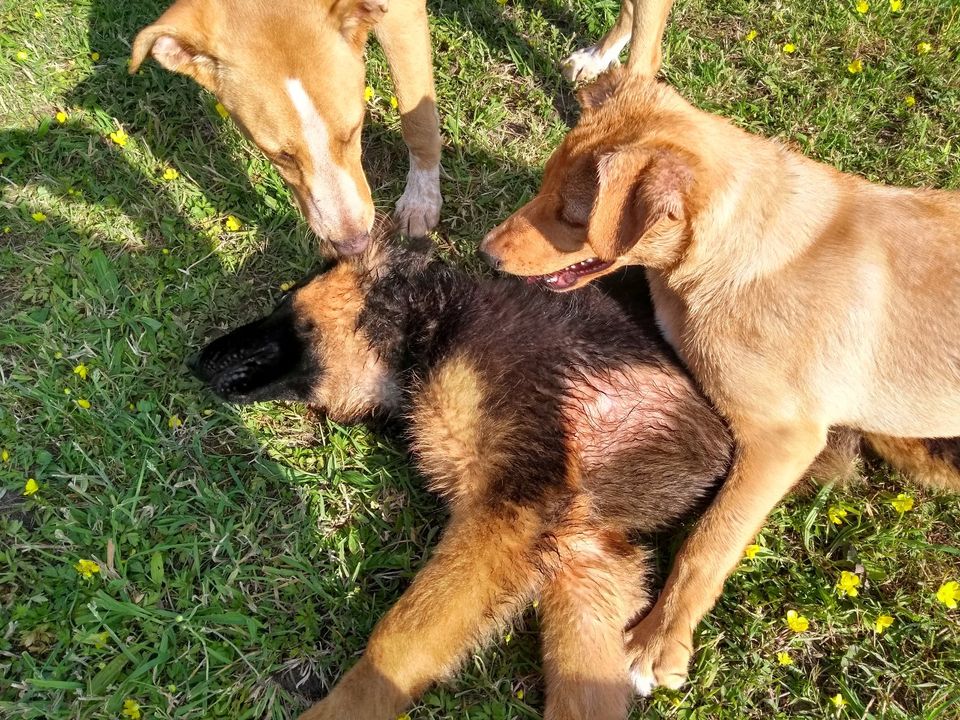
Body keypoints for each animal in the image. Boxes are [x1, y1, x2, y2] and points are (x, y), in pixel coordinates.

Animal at [131, 0, 442, 253]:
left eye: (353, 132)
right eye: (281, 155)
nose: (354, 246)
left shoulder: (401, 14)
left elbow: (418, 121)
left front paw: (419, 204)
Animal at [189, 238, 736, 720]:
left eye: (282, 302)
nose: (193, 360)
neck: (428, 327)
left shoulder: (513, 502)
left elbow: (401, 638)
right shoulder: (587, 557)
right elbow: (585, 692)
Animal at [484, 70, 960, 696]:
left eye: (572, 215)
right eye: (543, 184)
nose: (486, 254)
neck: (736, 253)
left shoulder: (782, 440)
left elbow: (708, 542)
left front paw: (658, 642)